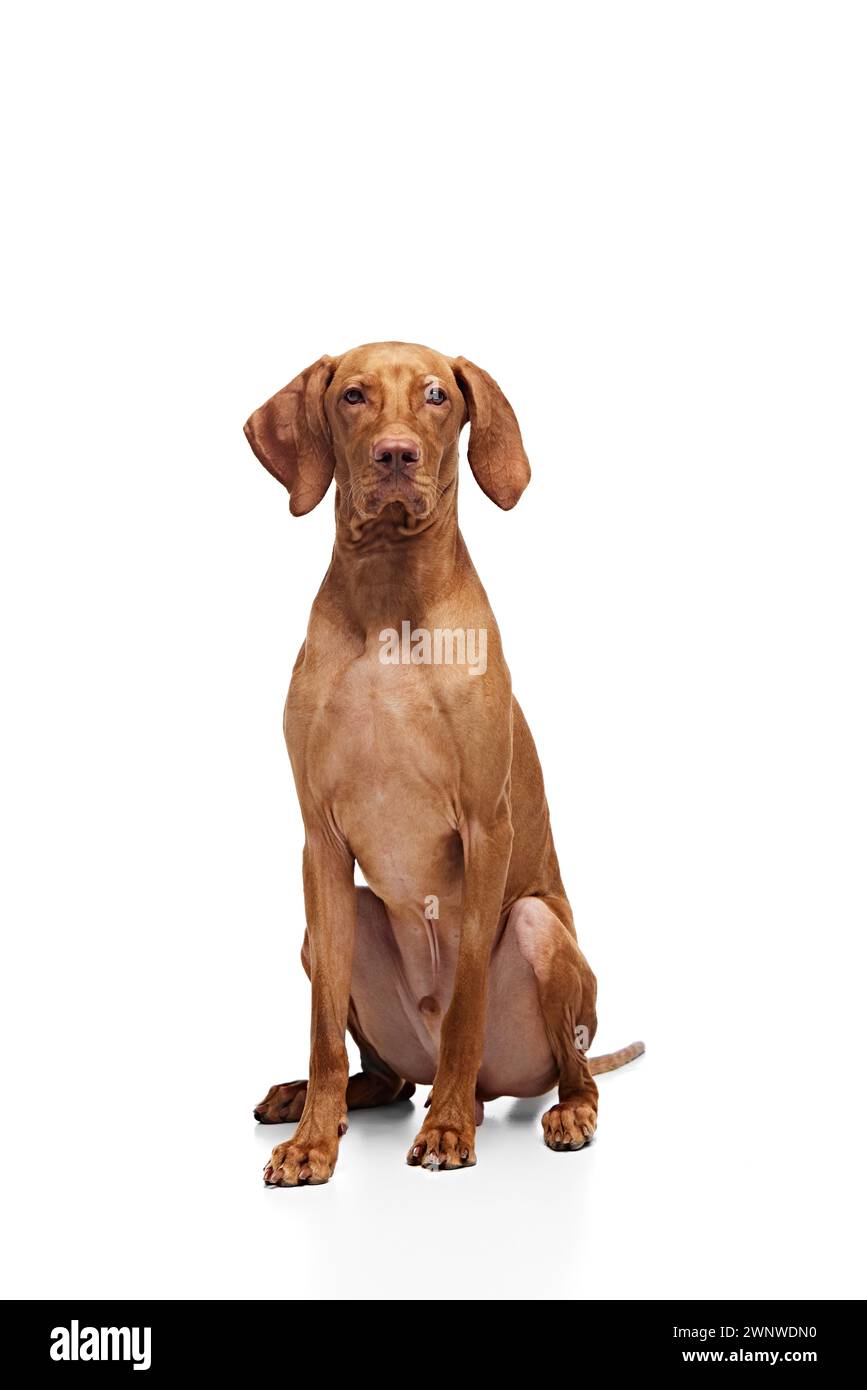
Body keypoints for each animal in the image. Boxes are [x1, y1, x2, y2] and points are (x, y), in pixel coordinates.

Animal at [244, 339, 644, 1184]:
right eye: (353, 395)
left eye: (436, 396)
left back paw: (549, 1112)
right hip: (331, 933)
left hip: (537, 930)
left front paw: (450, 1132)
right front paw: (312, 1144)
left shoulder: (485, 829)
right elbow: (322, 1032)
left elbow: (464, 1007)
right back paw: (314, 1099)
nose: (396, 455)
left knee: (571, 1070)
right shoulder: (319, 843)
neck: (389, 602)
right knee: (385, 1079)